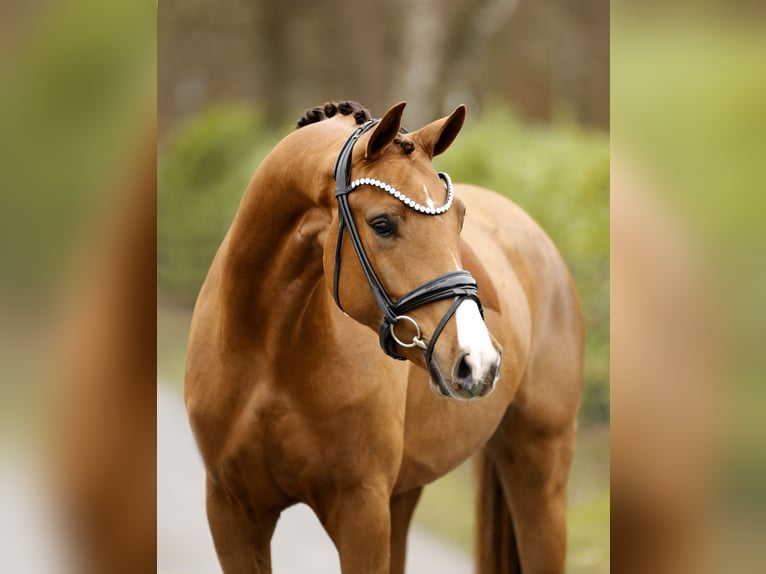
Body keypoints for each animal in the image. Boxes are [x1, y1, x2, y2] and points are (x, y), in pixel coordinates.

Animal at [185, 100, 583, 574]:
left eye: (460, 219)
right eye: (382, 224)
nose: (479, 361)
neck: (268, 353)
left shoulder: (362, 512)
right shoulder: (232, 513)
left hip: (540, 474)